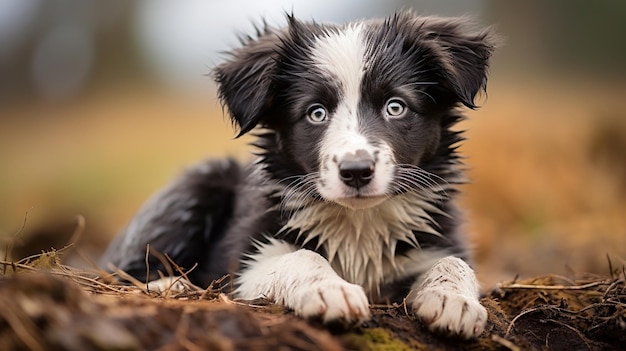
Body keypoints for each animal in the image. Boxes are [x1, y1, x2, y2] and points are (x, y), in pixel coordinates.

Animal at [100, 11, 494, 340]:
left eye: (395, 107)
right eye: (316, 113)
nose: (356, 171)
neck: (359, 223)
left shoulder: (437, 237)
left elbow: (454, 261)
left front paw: (454, 301)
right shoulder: (243, 265)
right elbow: (301, 257)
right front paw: (330, 290)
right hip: (195, 186)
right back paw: (170, 286)